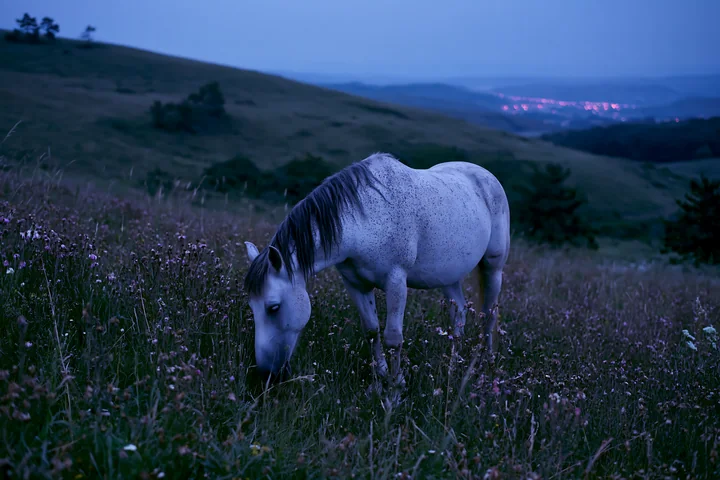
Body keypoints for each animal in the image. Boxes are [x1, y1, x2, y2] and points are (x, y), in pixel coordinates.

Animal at [243, 152, 510, 388]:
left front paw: (396, 384)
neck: (363, 220)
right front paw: (381, 373)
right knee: (459, 312)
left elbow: (393, 337)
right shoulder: (355, 283)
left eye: (273, 307)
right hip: (449, 276)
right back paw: (453, 362)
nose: (267, 374)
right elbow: (371, 330)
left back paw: (485, 363)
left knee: (490, 314)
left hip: (493, 268)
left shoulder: (396, 281)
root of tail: (485, 175)